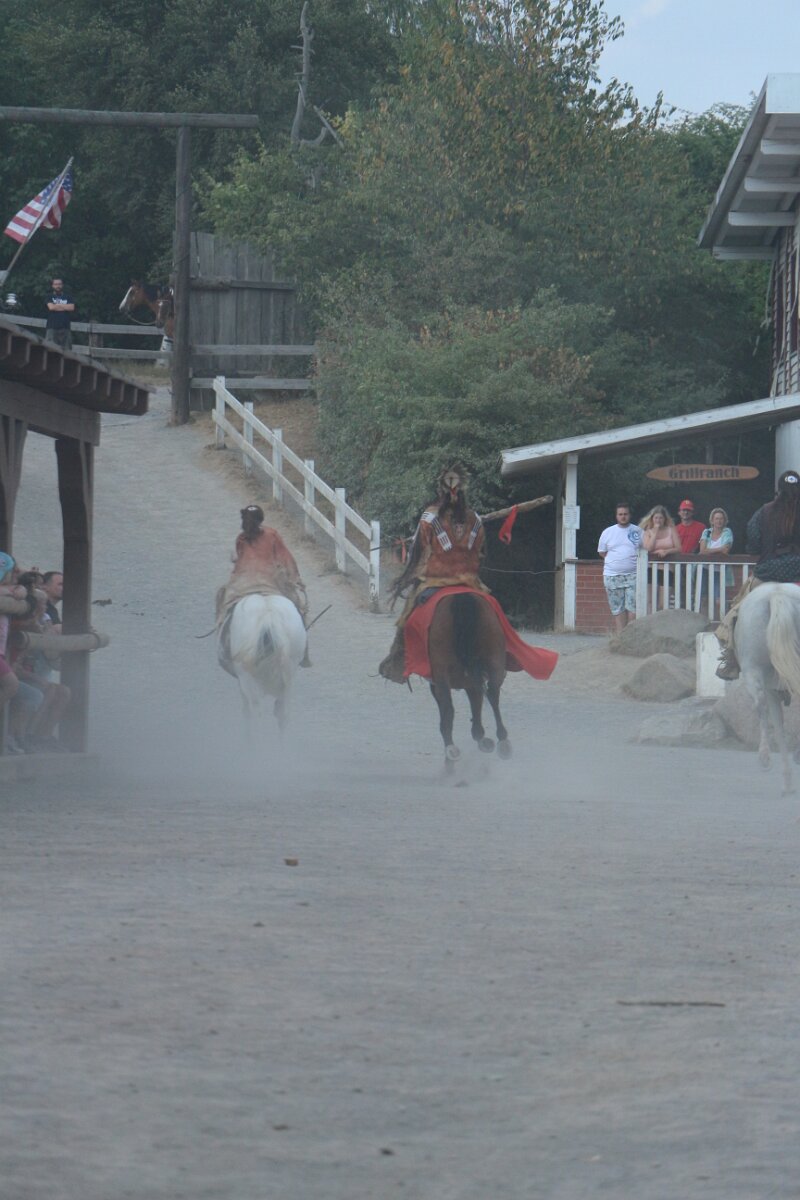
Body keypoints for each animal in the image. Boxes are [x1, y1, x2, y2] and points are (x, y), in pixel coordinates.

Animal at [218, 594, 306, 734]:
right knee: (283, 715)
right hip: (290, 672)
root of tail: (269, 618)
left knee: (256, 715)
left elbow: (246, 712)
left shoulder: (242, 682)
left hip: (248, 677)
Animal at [427, 591, 511, 772]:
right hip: (495, 659)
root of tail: (462, 598)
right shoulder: (472, 679)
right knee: (493, 694)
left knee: (448, 709)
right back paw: (503, 742)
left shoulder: (438, 680)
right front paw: (482, 738)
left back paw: (451, 754)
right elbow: (478, 702)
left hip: (441, 671)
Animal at [734, 582, 800, 795]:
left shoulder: (772, 691)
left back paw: (764, 757)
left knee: (759, 704)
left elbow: (778, 728)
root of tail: (775, 594)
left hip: (752, 668)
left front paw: (787, 781)